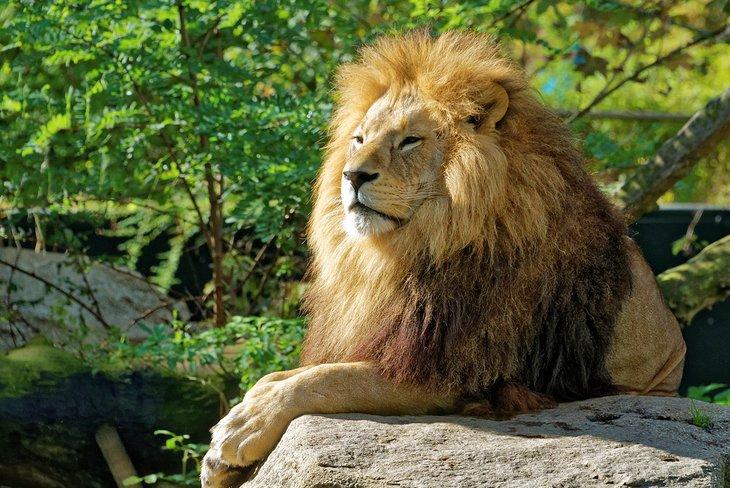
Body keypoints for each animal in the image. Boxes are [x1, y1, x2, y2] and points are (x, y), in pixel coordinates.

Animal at [201, 31, 686, 487]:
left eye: (409, 141)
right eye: (359, 139)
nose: (352, 175)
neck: (409, 248)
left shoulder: (452, 372)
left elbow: (327, 380)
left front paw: (242, 430)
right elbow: (280, 376)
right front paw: (227, 446)